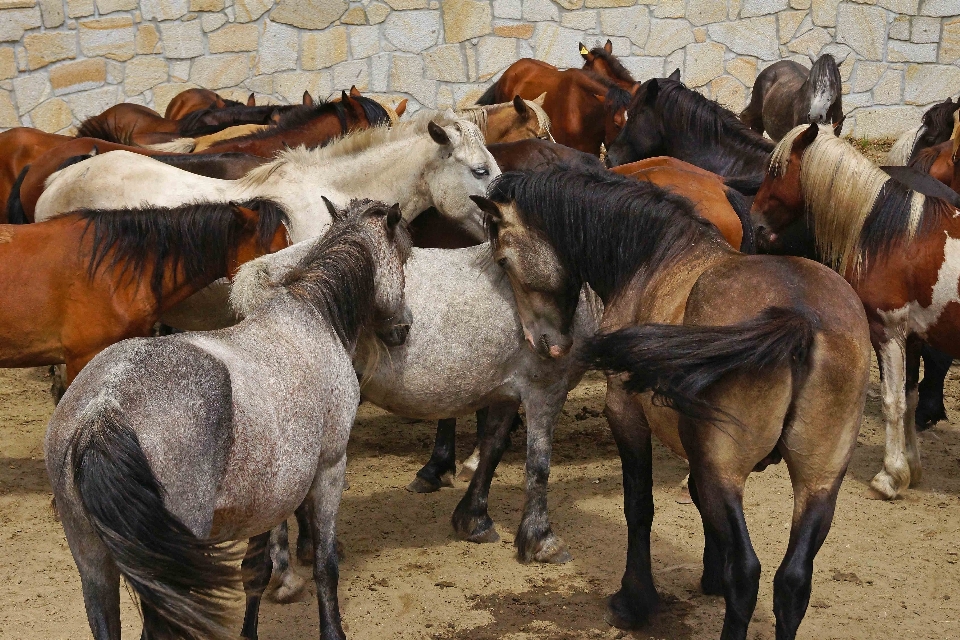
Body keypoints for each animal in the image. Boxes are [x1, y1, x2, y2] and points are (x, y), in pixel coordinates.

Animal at [46, 199, 412, 640]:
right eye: (406, 257)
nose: (404, 327)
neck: (313, 316)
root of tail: (102, 412)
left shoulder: (266, 497)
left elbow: (256, 571)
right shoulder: (329, 468)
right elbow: (326, 566)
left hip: (94, 565)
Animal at [472, 166, 872, 640]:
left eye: (503, 260)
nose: (544, 343)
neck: (654, 257)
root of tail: (799, 317)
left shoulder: (626, 415)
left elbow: (639, 507)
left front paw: (634, 600)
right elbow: (695, 498)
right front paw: (709, 574)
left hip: (727, 470)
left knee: (748, 573)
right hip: (820, 480)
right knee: (793, 581)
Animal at [752, 121, 960, 500]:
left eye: (775, 171)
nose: (755, 221)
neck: (893, 236)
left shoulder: (887, 332)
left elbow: (893, 402)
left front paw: (890, 477)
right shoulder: (911, 336)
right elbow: (909, 397)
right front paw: (911, 468)